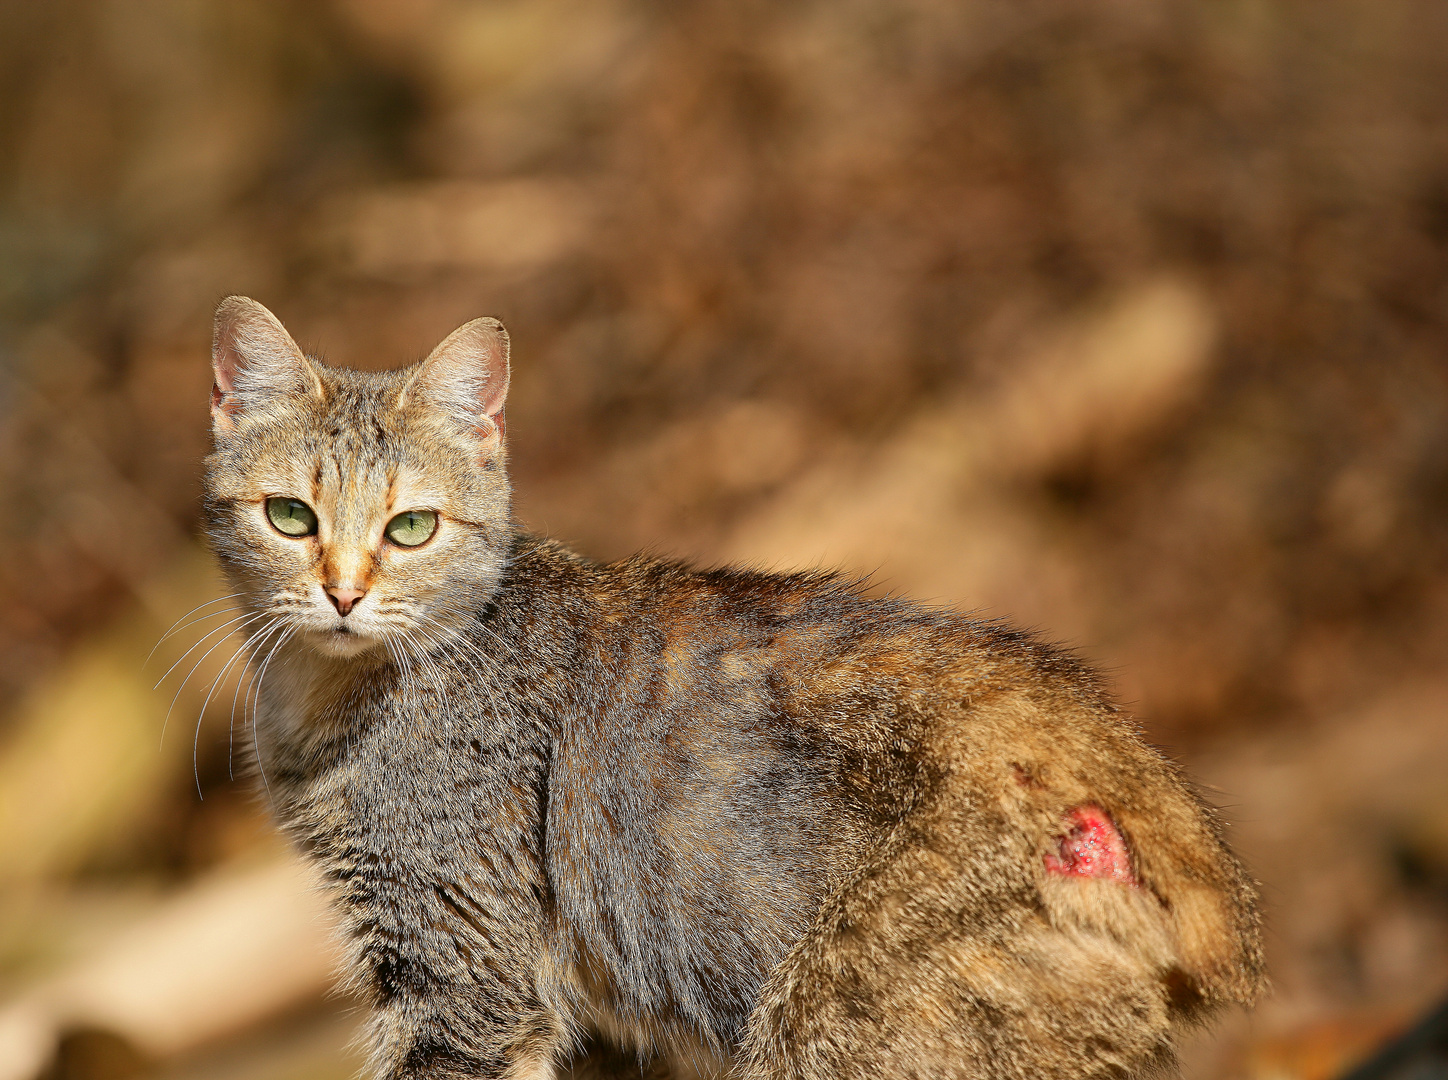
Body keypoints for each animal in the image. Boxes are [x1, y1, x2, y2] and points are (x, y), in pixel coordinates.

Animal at [201, 293, 1256, 1077]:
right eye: (291, 516)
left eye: (410, 528)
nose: (342, 591)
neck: (322, 699)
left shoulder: (465, 979)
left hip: (830, 1023)